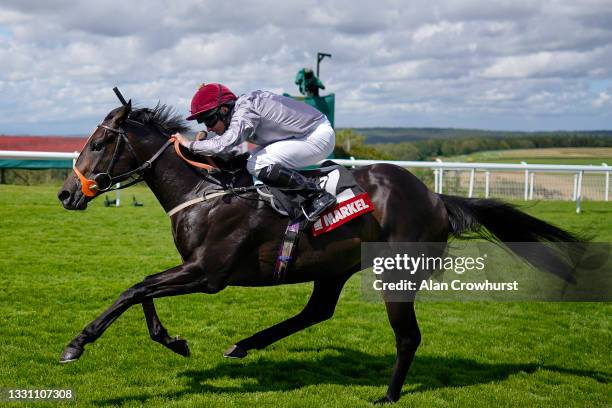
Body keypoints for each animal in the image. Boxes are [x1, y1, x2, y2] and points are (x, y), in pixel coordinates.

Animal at [57, 102, 584, 402]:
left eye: (99, 142)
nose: (66, 194)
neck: (205, 190)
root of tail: (436, 197)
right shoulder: (195, 269)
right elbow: (142, 289)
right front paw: (173, 340)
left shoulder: (207, 273)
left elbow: (135, 288)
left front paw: (76, 344)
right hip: (334, 267)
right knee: (317, 311)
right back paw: (244, 344)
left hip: (395, 273)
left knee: (407, 337)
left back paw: (388, 396)